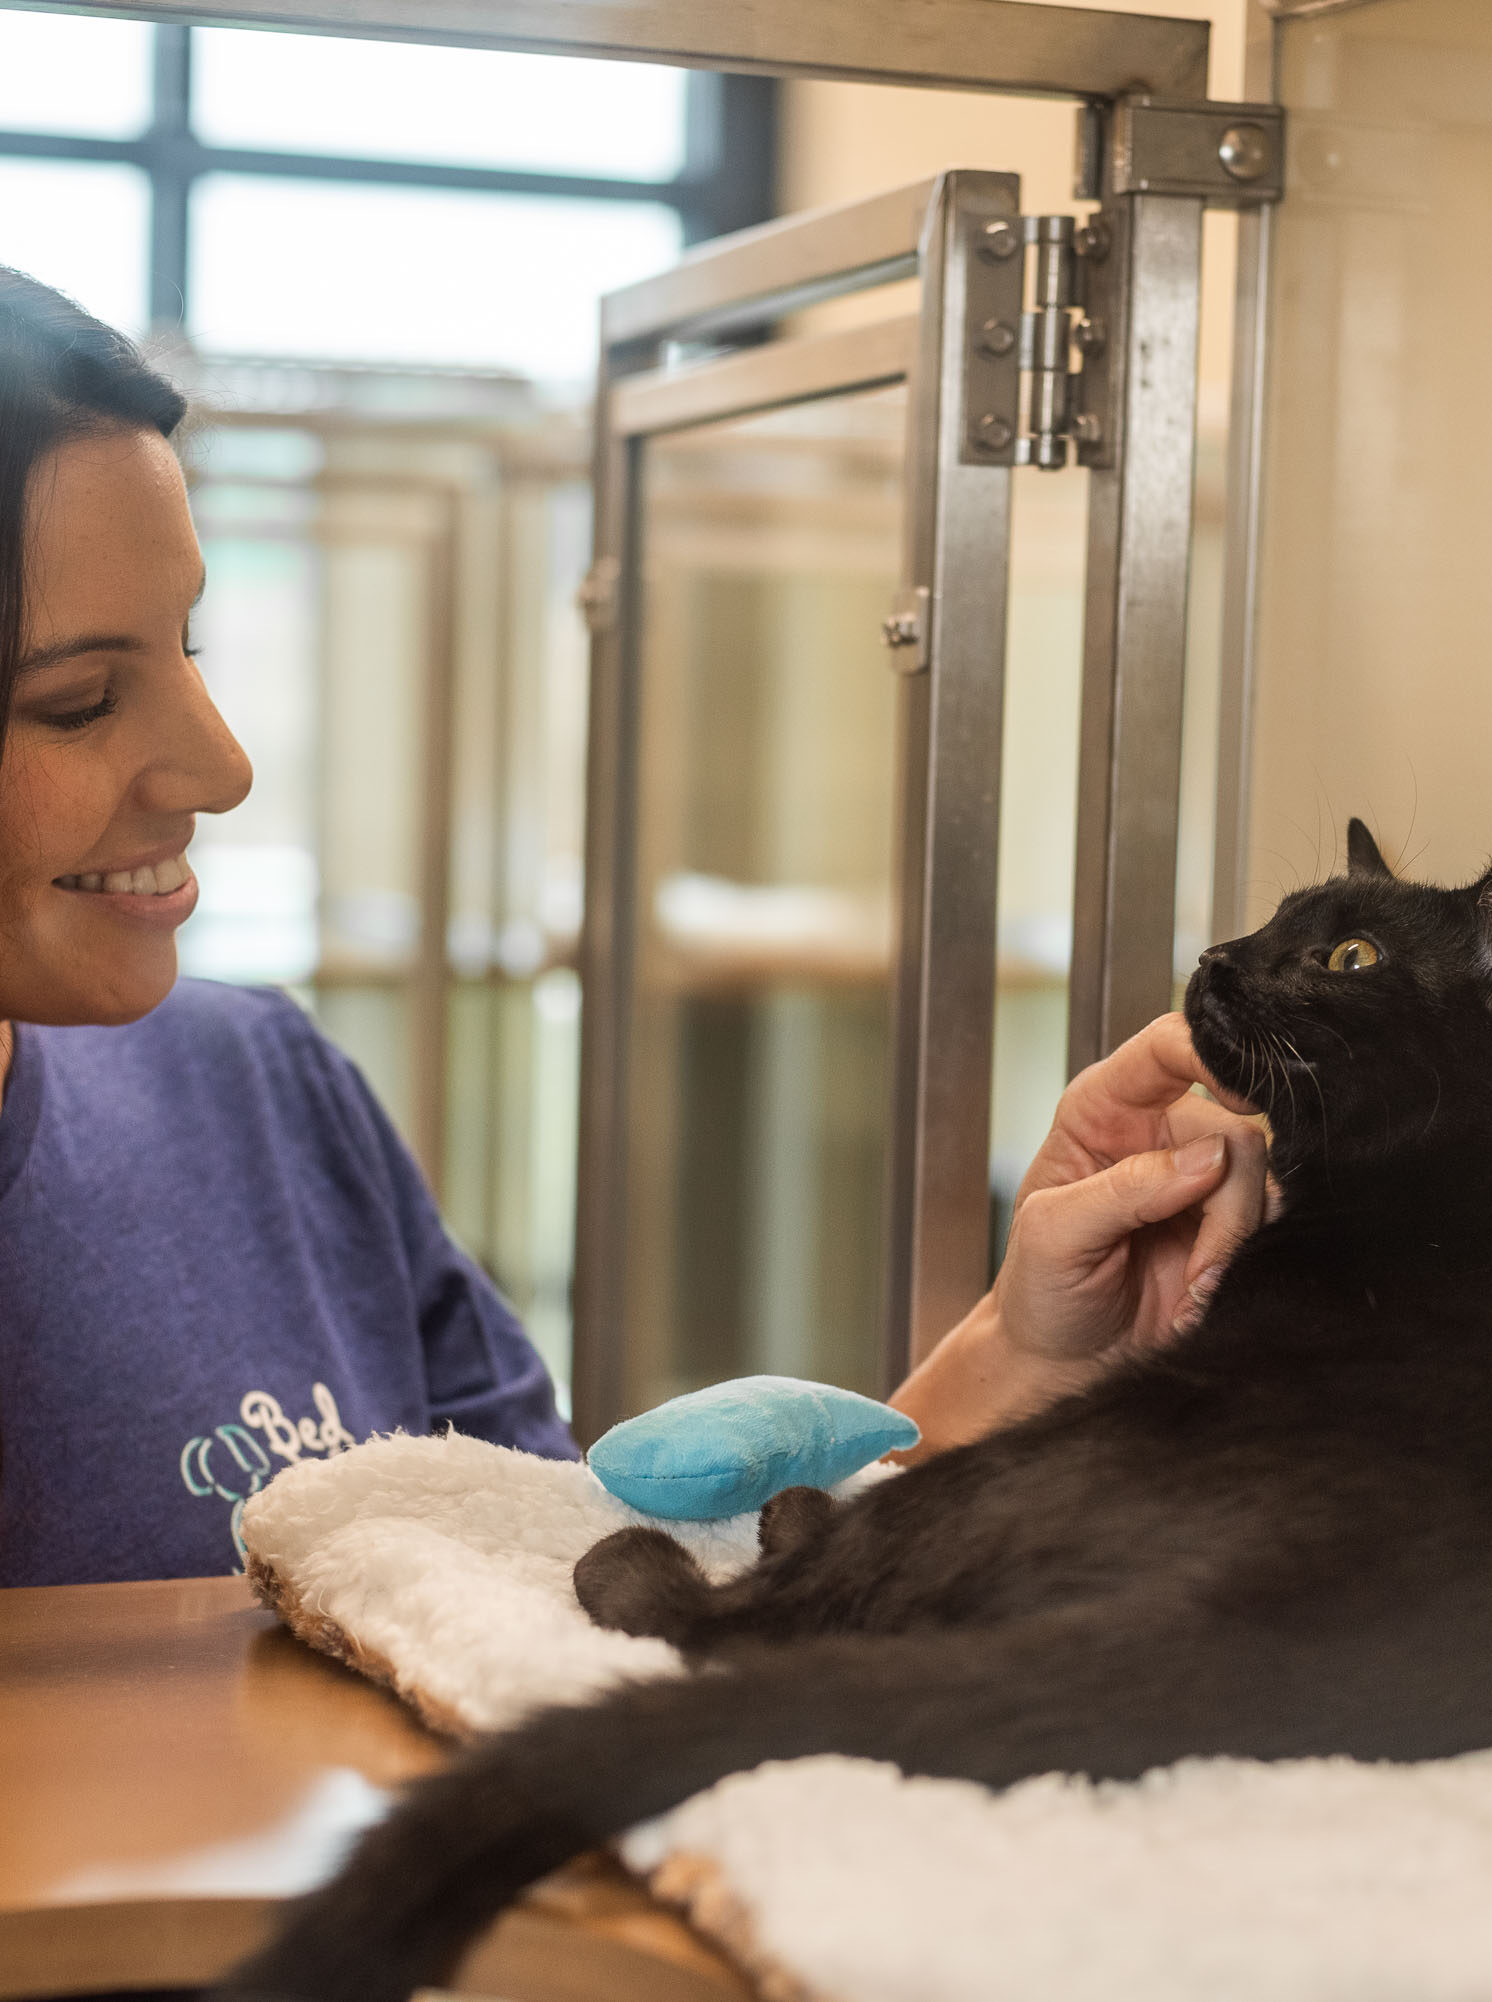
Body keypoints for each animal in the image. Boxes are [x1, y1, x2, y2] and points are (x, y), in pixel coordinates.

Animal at [221, 816, 1489, 2002]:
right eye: (1273, 918)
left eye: (1349, 954)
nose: (1218, 956)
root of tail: (1237, 1620)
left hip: (1032, 1452)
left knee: (734, 1624)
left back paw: (724, 1538)